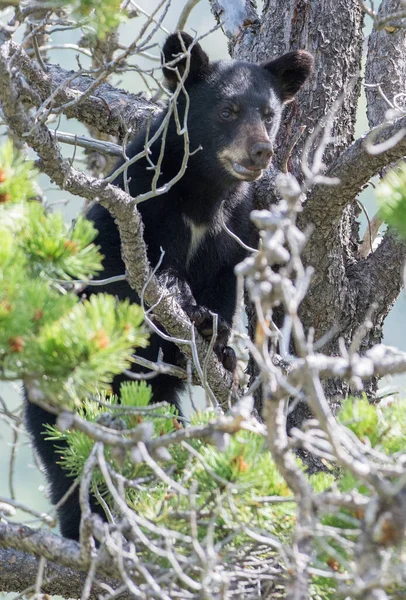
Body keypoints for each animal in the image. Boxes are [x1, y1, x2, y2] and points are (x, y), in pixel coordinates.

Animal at [25, 31, 312, 540]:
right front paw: (182, 300)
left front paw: (220, 340)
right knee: (66, 466)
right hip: (60, 406)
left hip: (153, 400)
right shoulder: (136, 199)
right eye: (228, 110)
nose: (261, 152)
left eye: (269, 114)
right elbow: (122, 272)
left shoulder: (235, 228)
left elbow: (225, 284)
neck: (203, 195)